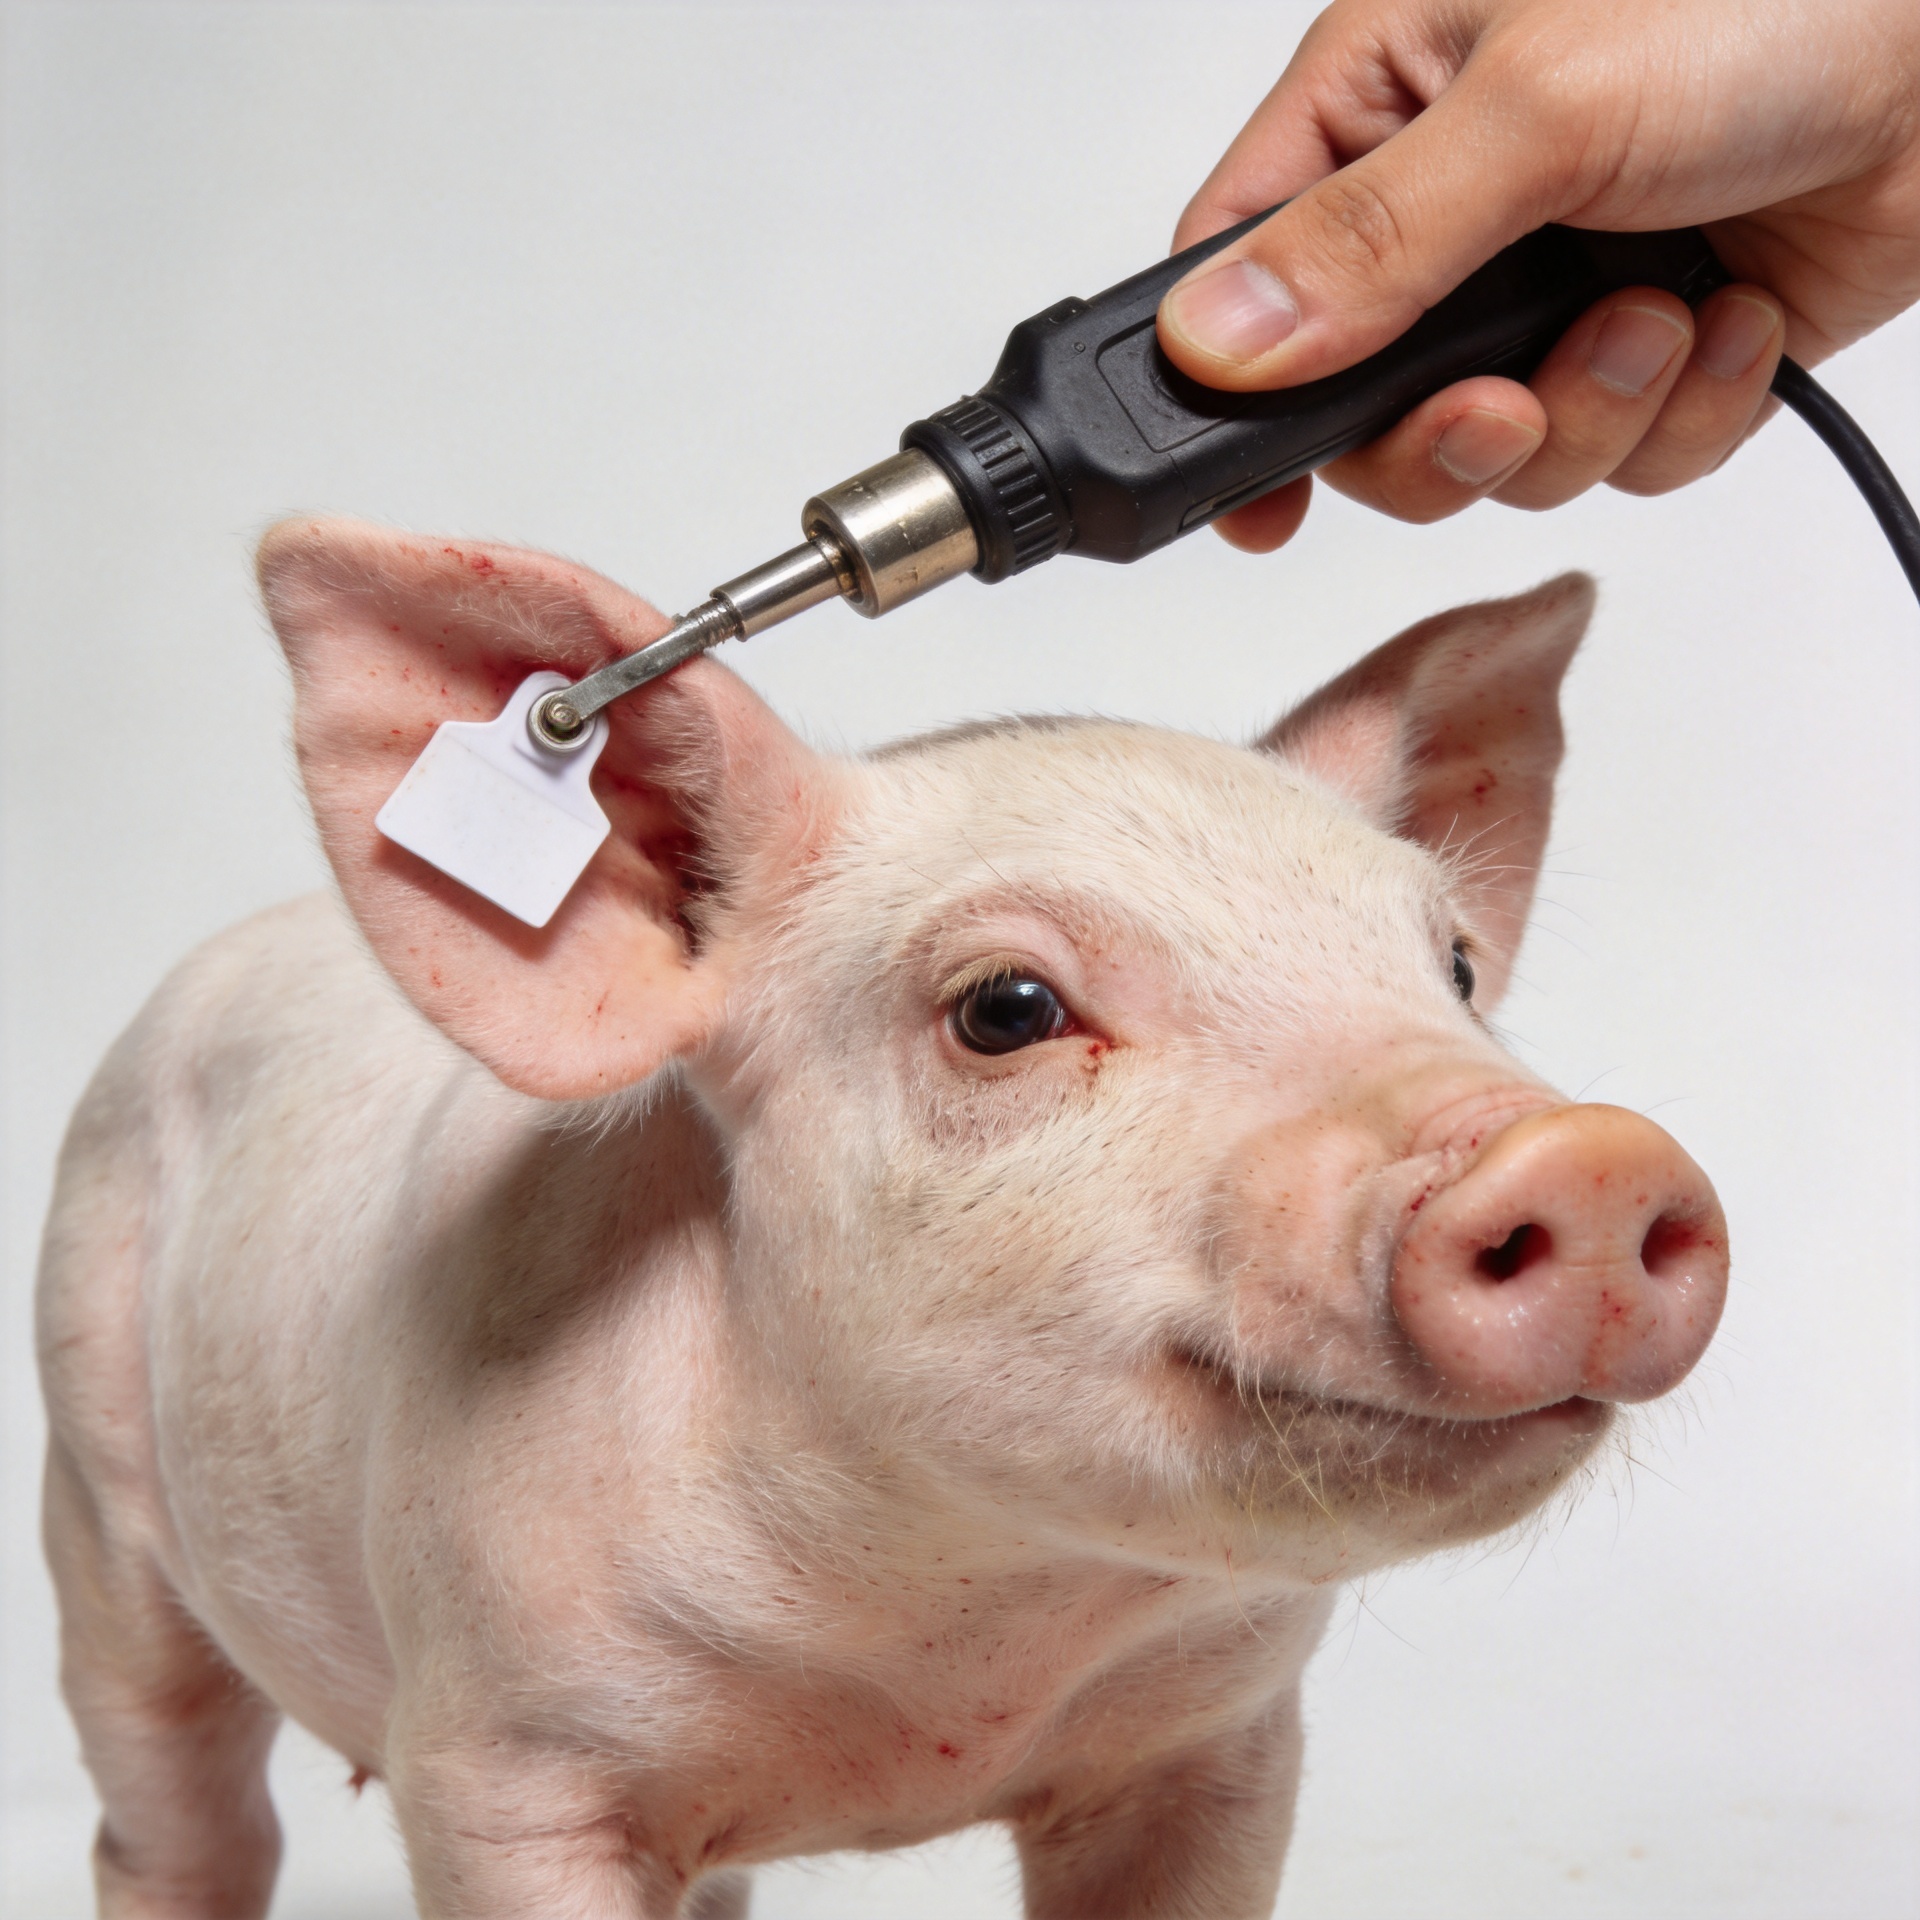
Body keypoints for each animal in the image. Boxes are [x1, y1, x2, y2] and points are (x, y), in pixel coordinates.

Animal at [37, 518, 1729, 1920]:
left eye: (1452, 968)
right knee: (175, 1819)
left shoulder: (1221, 1737)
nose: (1587, 1158)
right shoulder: (498, 1762)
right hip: (92, 1473)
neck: (933, 1653)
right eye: (1007, 1009)